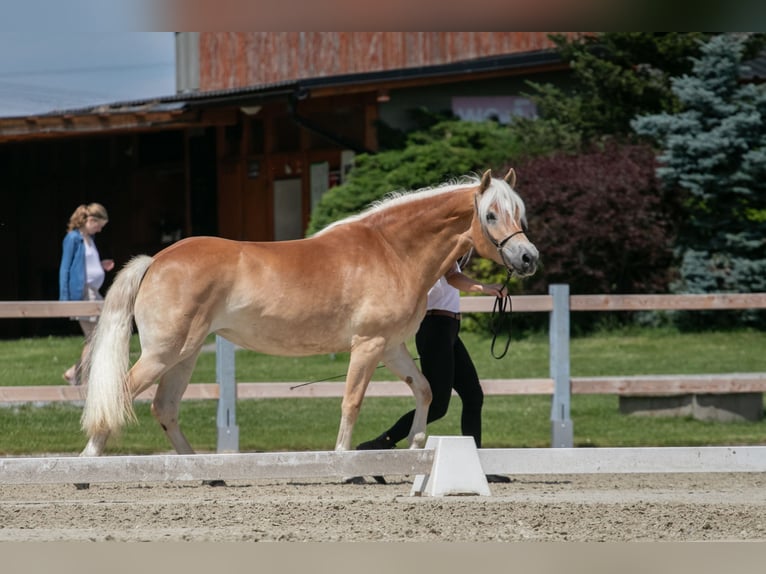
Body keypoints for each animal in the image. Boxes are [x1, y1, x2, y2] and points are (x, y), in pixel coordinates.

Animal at [79, 166, 540, 460]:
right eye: (491, 215)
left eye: (520, 213)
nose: (528, 257)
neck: (392, 251)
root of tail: (156, 260)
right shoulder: (368, 344)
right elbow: (352, 401)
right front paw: (342, 457)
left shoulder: (391, 346)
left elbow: (424, 390)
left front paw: (415, 444)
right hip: (163, 353)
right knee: (118, 396)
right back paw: (86, 462)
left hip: (184, 355)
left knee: (164, 409)